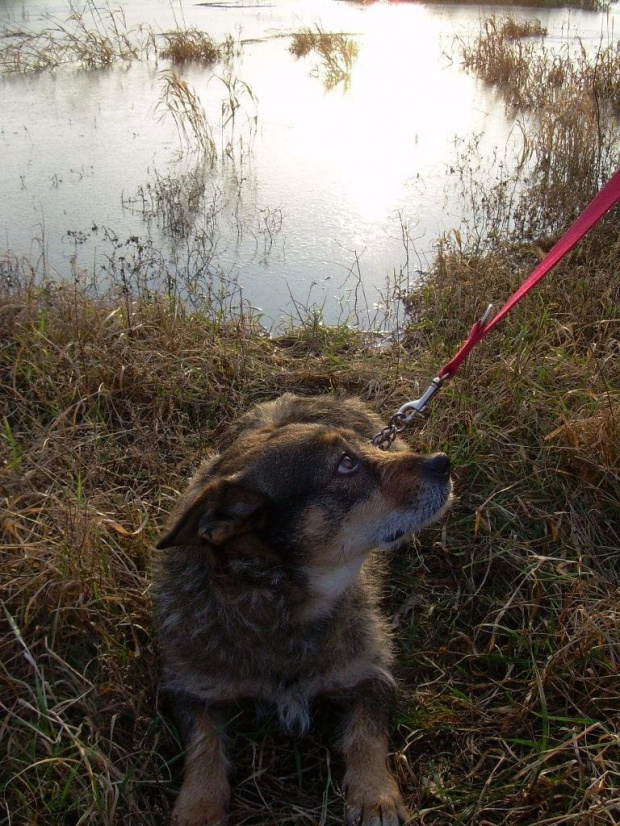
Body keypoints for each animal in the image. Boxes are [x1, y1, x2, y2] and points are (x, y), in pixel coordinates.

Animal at [153, 394, 452, 824]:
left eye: (360, 449)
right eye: (346, 464)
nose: (443, 462)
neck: (283, 601)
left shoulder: (368, 671)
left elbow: (366, 735)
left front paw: (374, 795)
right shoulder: (192, 684)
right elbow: (203, 744)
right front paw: (199, 806)